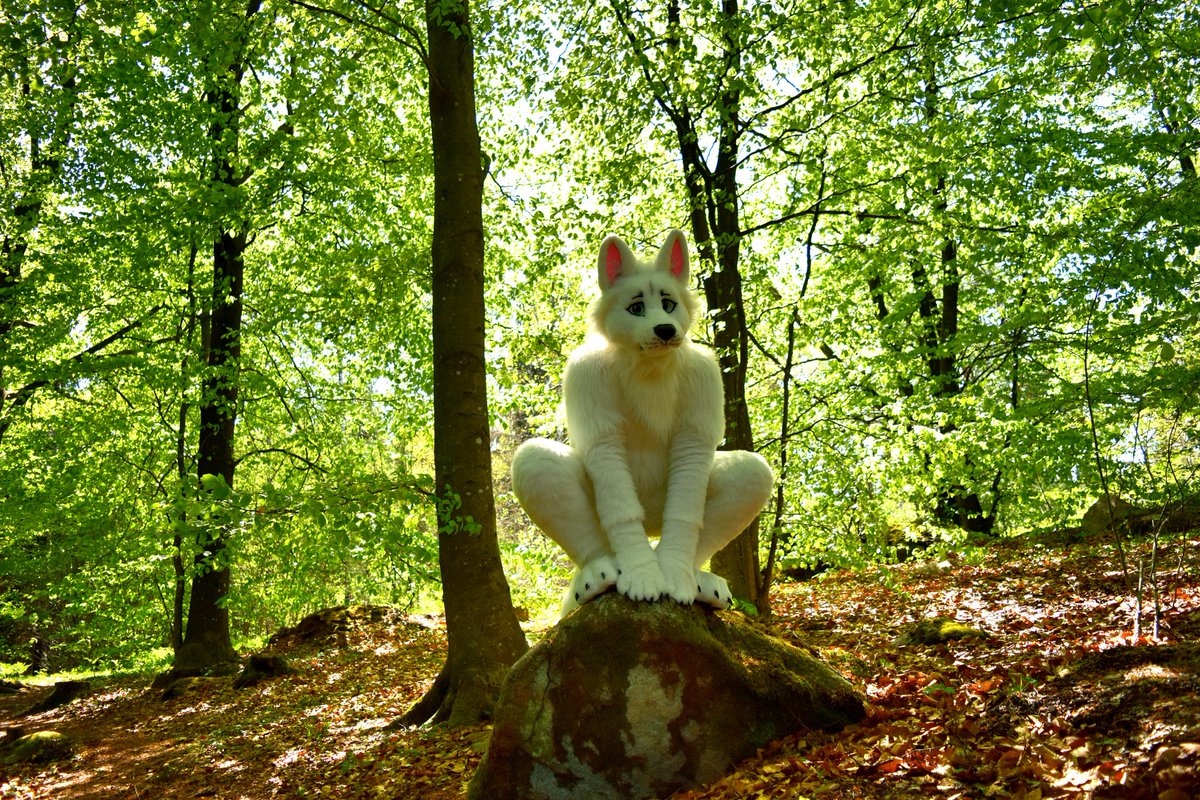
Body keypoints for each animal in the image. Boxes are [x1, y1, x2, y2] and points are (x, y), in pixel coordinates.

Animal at [511, 229, 774, 615]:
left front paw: (674, 576)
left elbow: (685, 513)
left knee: (748, 475)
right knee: (543, 467)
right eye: (636, 308)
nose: (665, 329)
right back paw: (596, 578)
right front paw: (642, 575)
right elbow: (621, 511)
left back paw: (700, 582)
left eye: (668, 303)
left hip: (736, 478)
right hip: (540, 465)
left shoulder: (700, 404)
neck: (649, 366)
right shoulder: (592, 396)